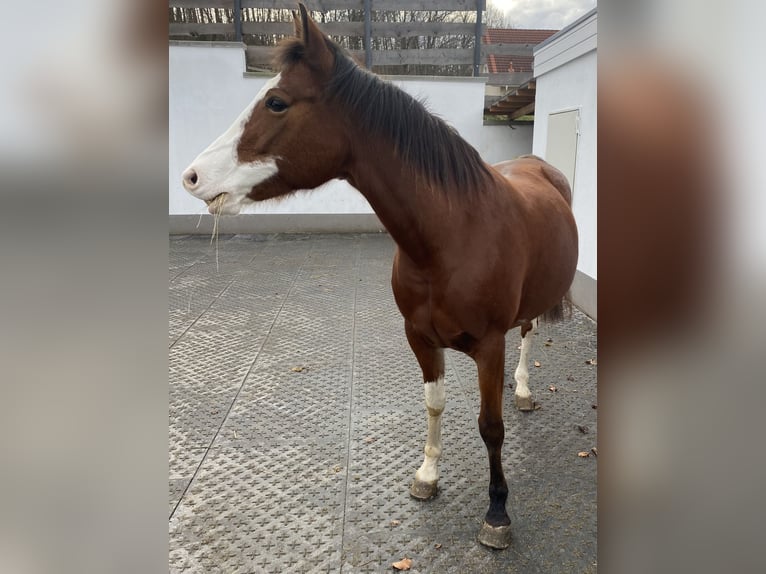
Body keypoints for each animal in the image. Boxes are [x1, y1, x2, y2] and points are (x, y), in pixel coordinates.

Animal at [181, 4, 578, 549]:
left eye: (277, 102)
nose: (192, 177)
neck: (451, 236)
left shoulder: (489, 346)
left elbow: (490, 426)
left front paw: (497, 512)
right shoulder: (419, 338)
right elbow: (434, 404)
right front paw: (427, 476)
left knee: (530, 333)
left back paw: (521, 391)